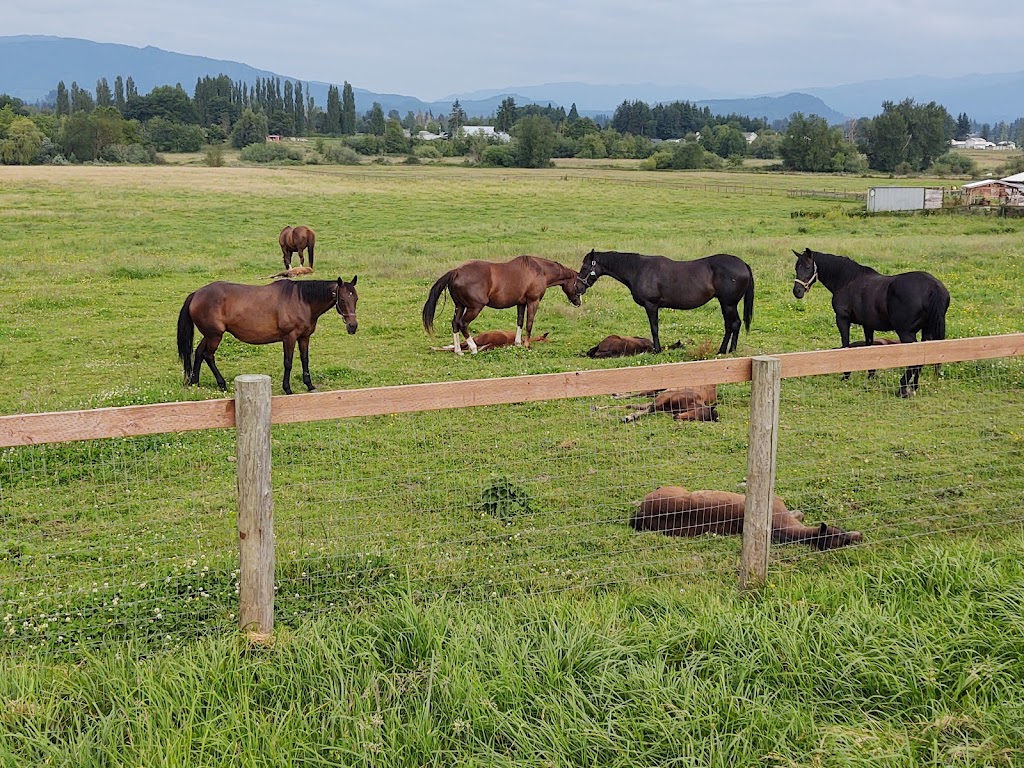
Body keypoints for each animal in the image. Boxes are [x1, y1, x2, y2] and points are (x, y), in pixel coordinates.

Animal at [173, 278, 356, 397]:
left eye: (356, 298)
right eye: (342, 299)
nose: (353, 326)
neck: (301, 300)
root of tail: (196, 294)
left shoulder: (304, 337)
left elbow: (305, 359)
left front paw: (310, 385)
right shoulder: (289, 337)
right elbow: (288, 363)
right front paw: (287, 388)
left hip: (210, 335)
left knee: (198, 353)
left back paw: (194, 382)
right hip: (215, 336)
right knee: (208, 355)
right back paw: (222, 384)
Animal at [423, 257, 585, 356]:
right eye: (579, 284)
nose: (579, 303)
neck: (539, 270)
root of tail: (456, 271)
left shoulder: (521, 303)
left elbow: (520, 322)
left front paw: (518, 343)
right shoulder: (533, 301)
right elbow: (529, 323)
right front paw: (527, 345)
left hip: (460, 306)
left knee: (455, 324)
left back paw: (458, 351)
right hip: (474, 308)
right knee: (463, 324)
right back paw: (473, 348)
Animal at [577, 250, 753, 356]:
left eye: (585, 267)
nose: (578, 287)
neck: (638, 269)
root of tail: (743, 264)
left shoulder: (651, 305)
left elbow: (654, 328)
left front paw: (657, 350)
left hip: (728, 304)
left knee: (734, 324)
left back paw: (728, 350)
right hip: (726, 304)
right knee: (730, 325)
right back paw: (724, 350)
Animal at [790, 249, 950, 399]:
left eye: (808, 266)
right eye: (796, 267)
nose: (797, 291)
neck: (848, 281)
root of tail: (933, 286)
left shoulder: (842, 319)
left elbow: (846, 345)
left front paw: (846, 375)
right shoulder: (868, 325)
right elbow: (869, 347)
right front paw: (870, 375)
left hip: (906, 333)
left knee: (914, 361)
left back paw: (903, 389)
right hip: (926, 331)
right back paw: (914, 386)